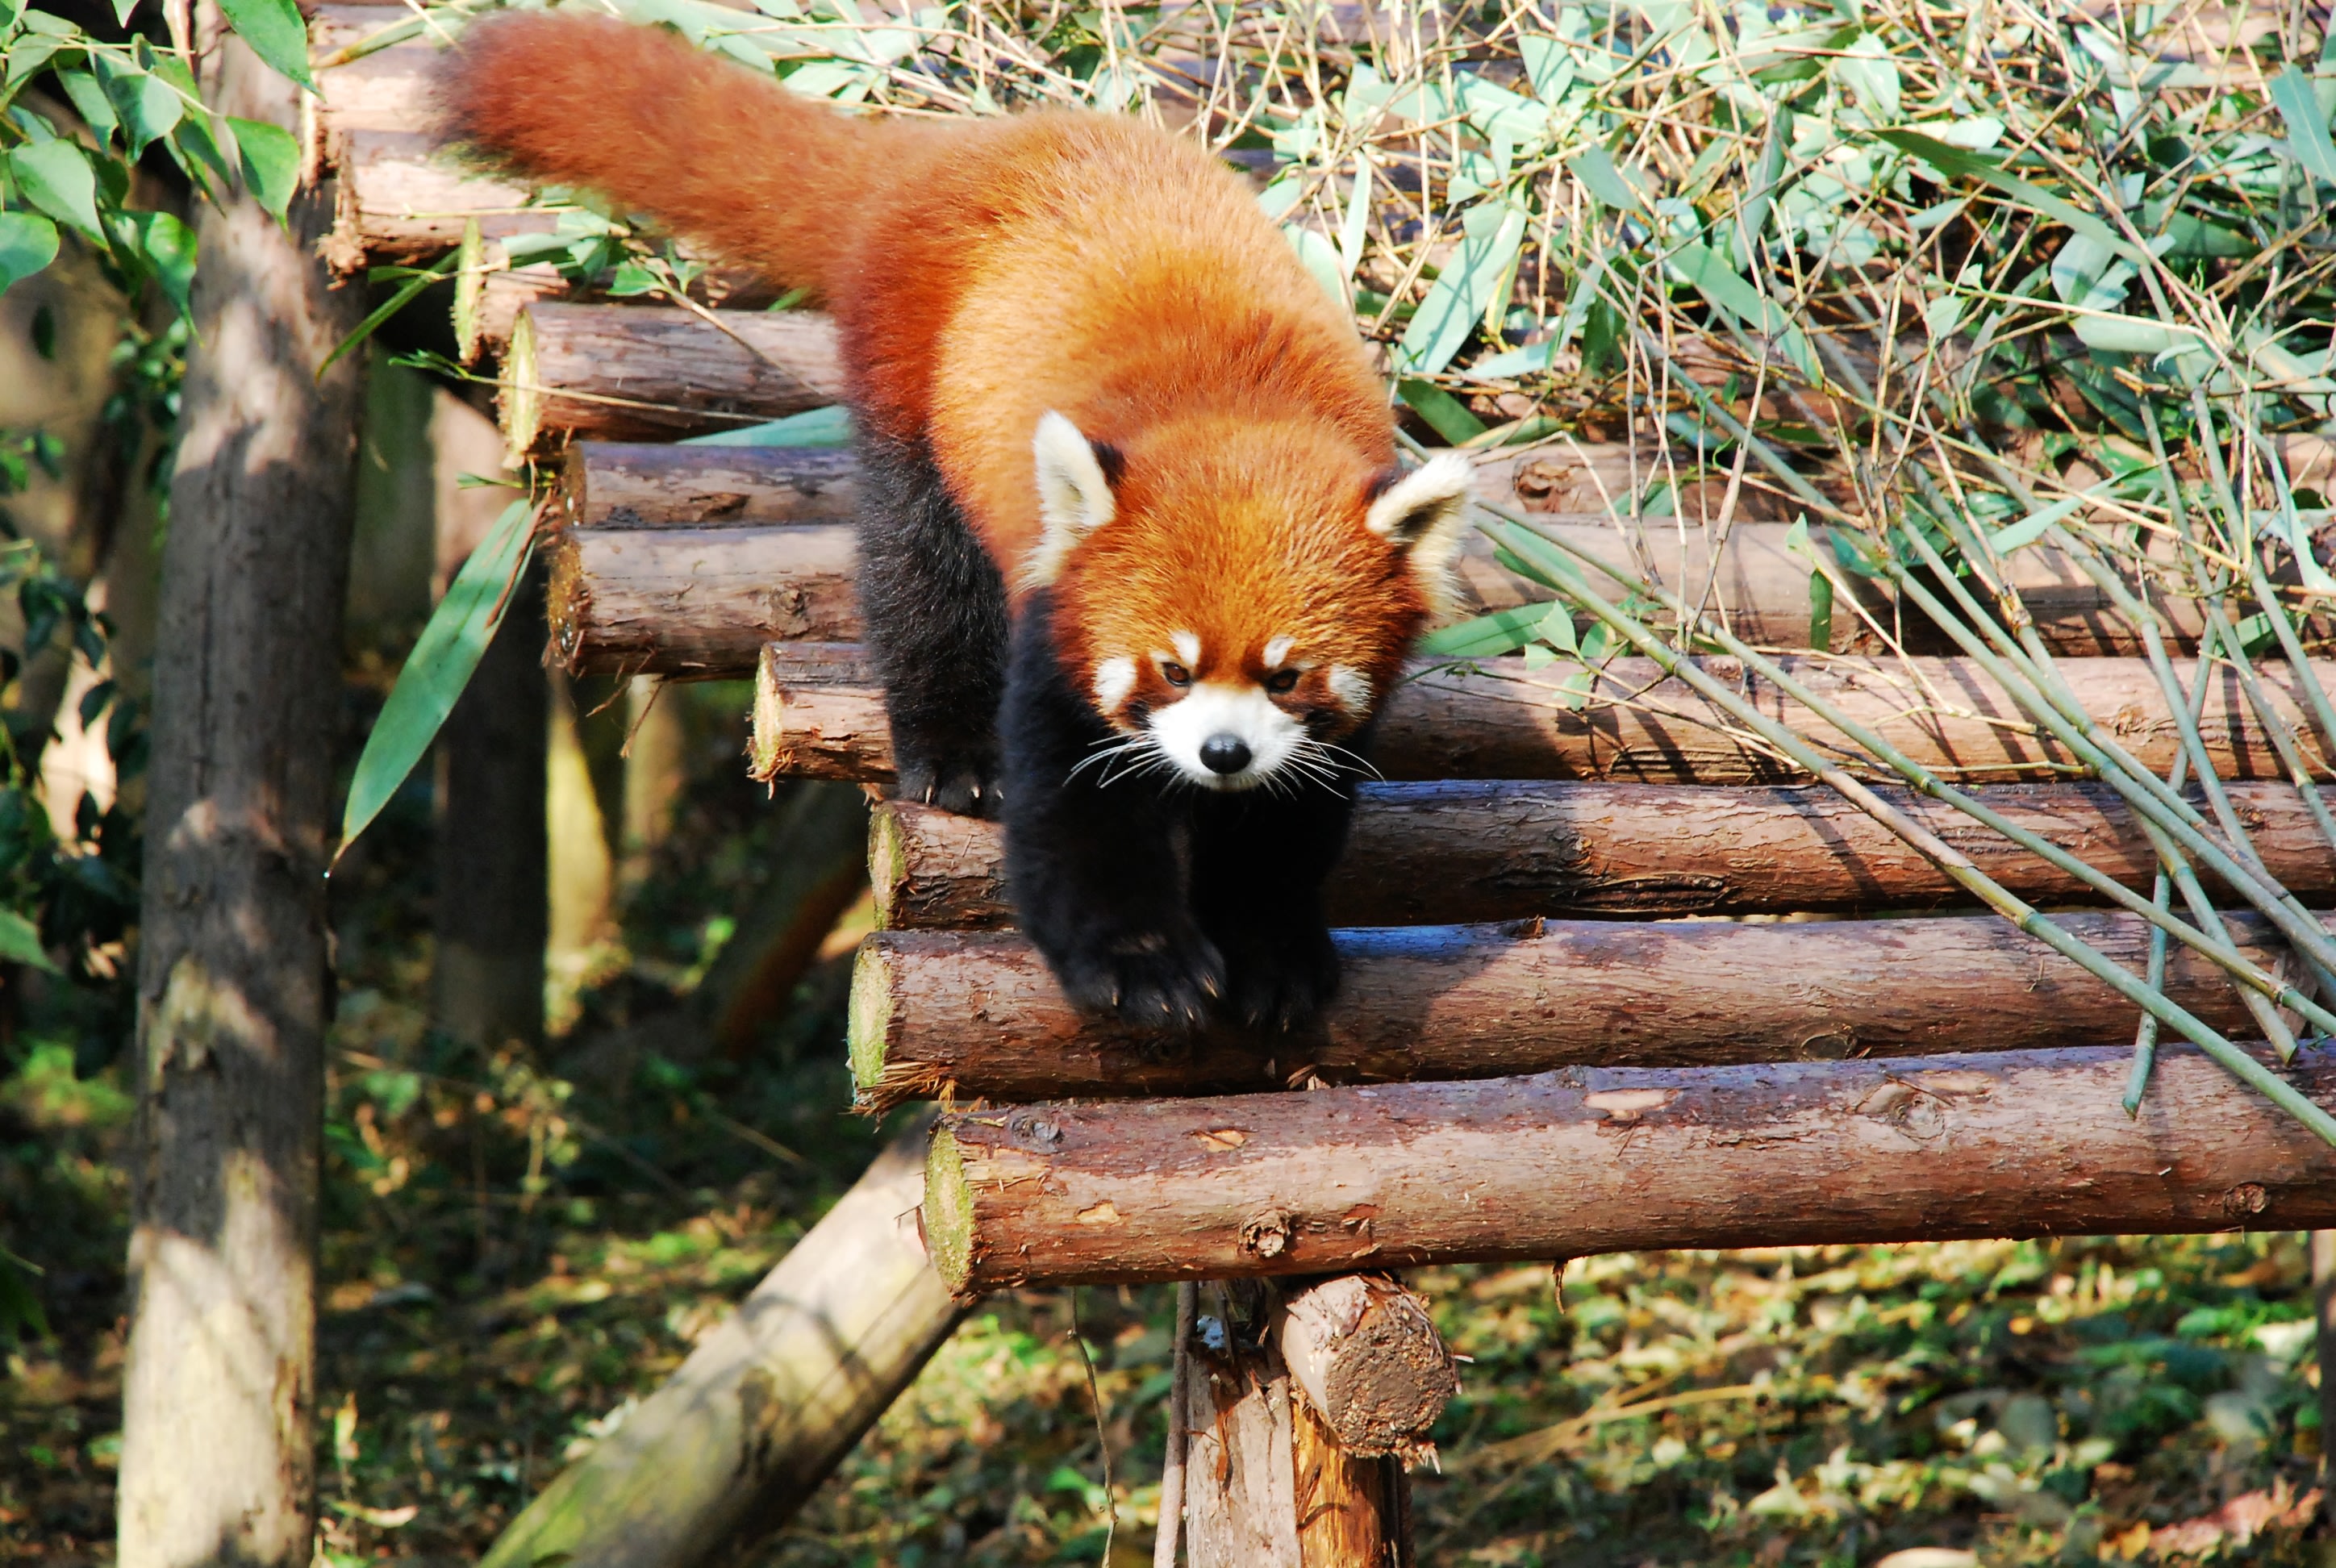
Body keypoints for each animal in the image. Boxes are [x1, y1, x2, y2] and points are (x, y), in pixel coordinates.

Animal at [444, 18, 1466, 1037]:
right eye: (1170, 671)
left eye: (1284, 676)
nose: (1223, 754)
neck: (1240, 416)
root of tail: (969, 143)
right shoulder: (1062, 615)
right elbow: (1074, 811)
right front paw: (1142, 963)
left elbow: (1287, 824)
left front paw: (1270, 954)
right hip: (912, 377)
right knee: (919, 569)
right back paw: (953, 750)